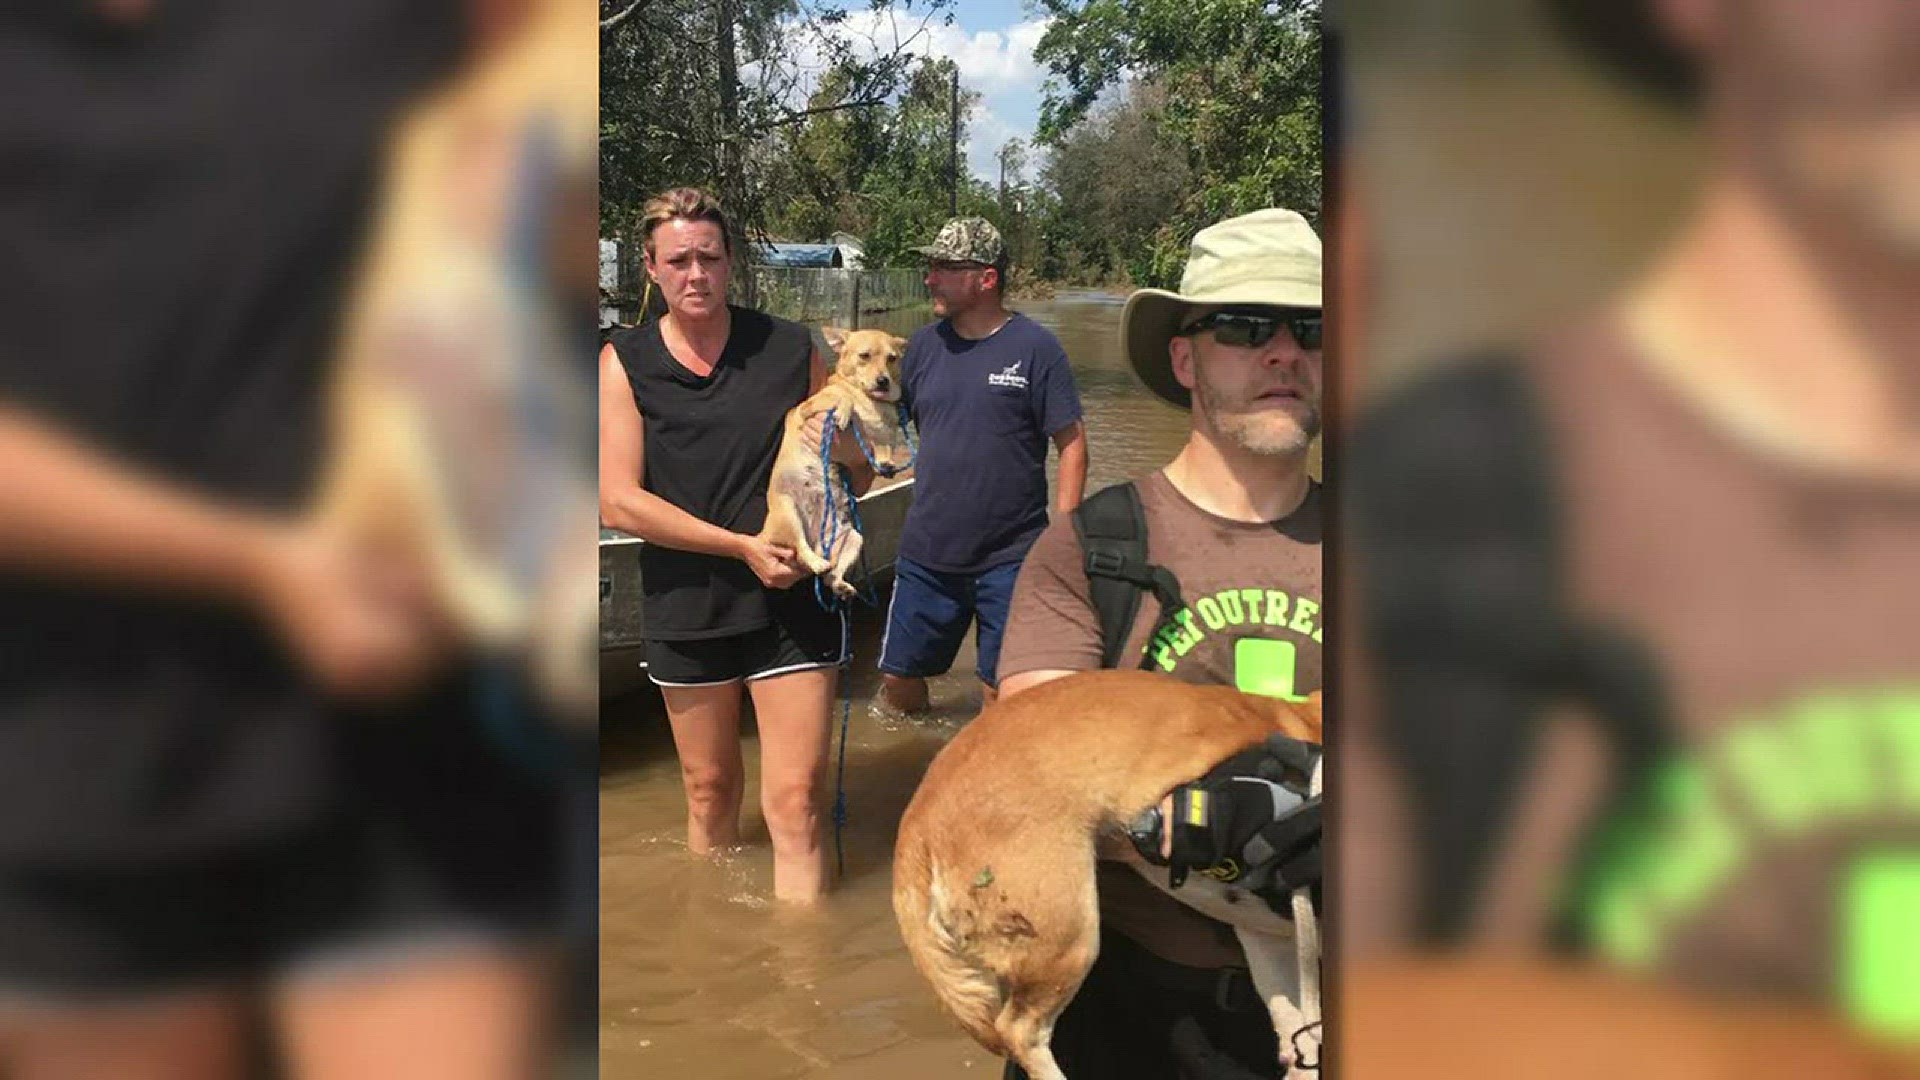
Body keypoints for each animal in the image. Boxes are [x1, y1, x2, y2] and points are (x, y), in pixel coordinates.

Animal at [756, 328, 913, 595]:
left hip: (853, 539)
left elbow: (883, 445)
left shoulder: (883, 435)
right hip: (789, 513)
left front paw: (886, 463)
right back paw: (816, 562)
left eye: (892, 358)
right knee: (800, 549)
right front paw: (845, 412)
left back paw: (841, 585)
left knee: (832, 575)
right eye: (864, 356)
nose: (883, 380)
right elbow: (842, 399)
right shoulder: (808, 408)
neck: (870, 401)